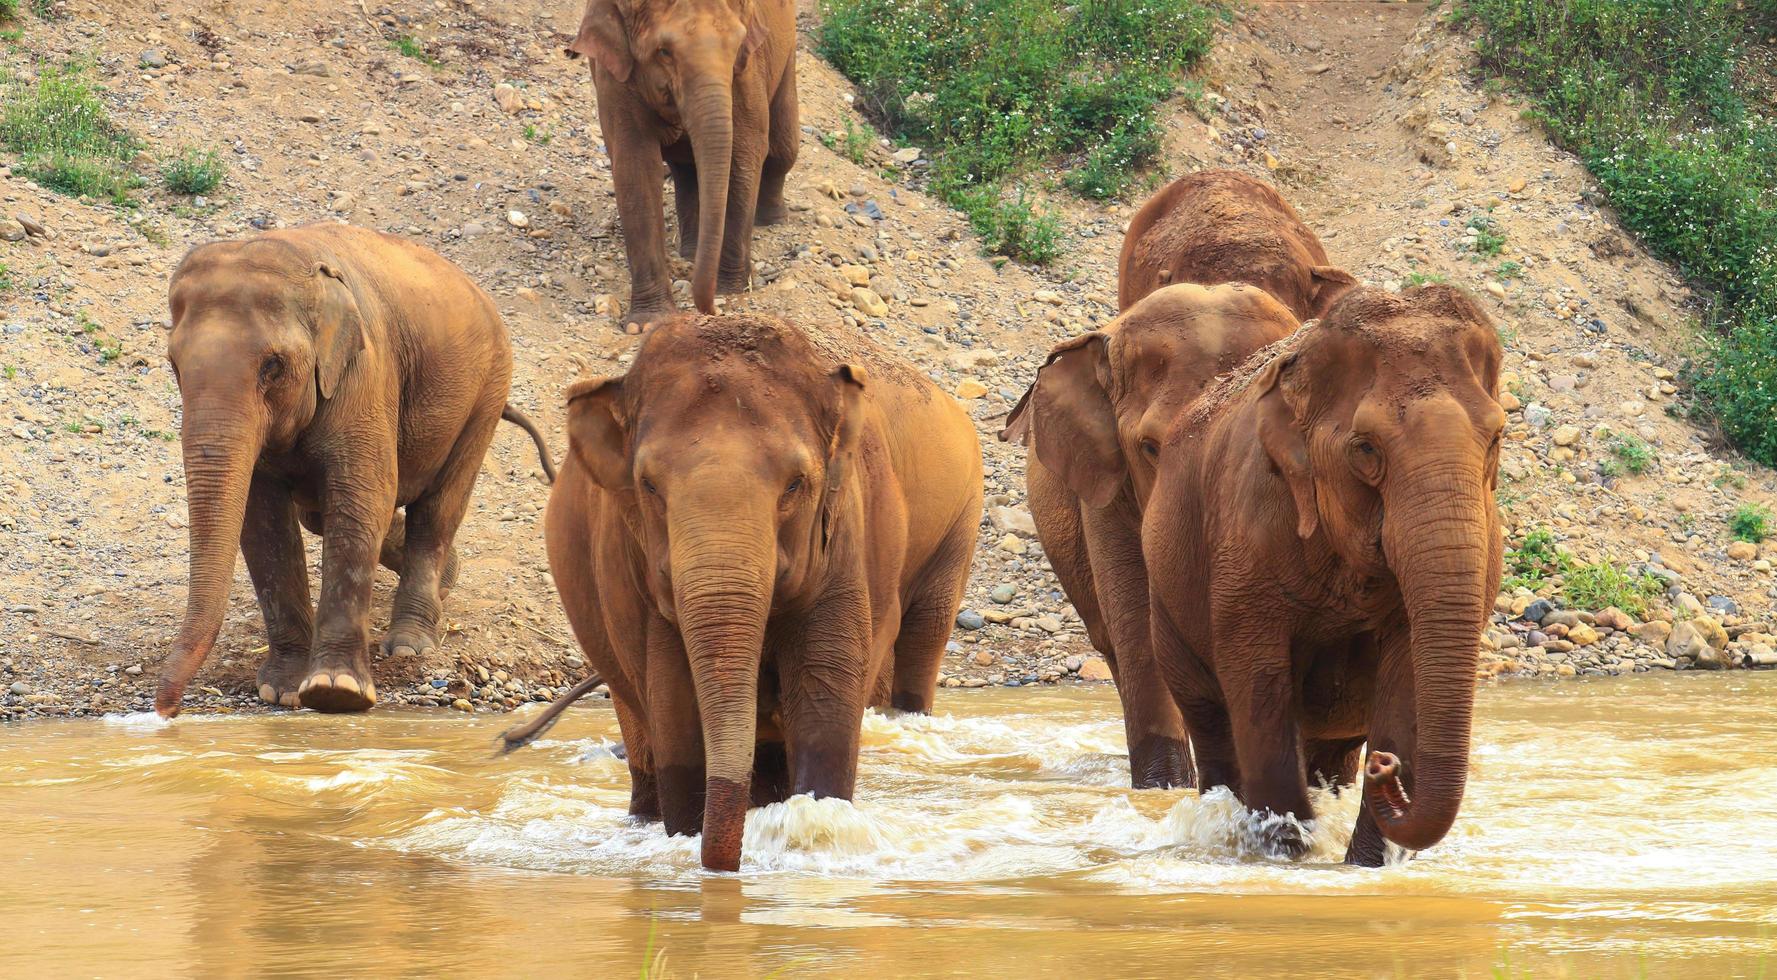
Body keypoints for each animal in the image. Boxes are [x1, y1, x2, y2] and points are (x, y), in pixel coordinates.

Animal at [543, 314, 988, 875]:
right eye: (648, 485)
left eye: (796, 484)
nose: (724, 867)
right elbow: (676, 709)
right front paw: (692, 835)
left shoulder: (846, 539)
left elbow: (824, 708)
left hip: (959, 523)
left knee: (927, 627)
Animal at [568, 0, 799, 334]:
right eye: (664, 52)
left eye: (737, 46)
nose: (712, 311)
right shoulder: (616, 73)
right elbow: (635, 165)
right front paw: (647, 325)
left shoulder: (748, 67)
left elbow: (746, 149)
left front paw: (731, 291)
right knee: (686, 169)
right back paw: (690, 254)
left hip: (789, 50)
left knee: (783, 146)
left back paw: (771, 220)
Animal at [1144, 286, 1506, 867]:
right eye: (1366, 449)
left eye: (1496, 437)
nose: (1385, 768)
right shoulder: (1247, 533)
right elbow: (1258, 686)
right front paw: (1289, 855)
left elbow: (1405, 682)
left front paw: (1364, 865)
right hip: (1167, 599)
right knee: (1213, 725)